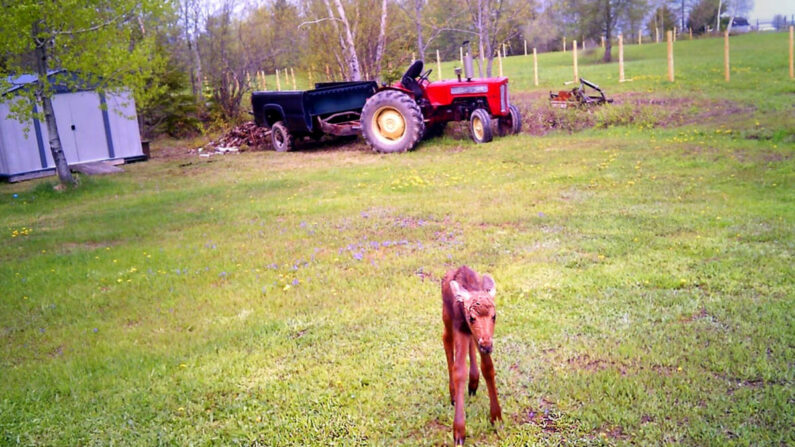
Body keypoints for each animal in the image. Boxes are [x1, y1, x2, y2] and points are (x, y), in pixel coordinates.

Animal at [442, 266, 504, 444]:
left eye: (494, 316)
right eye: (471, 317)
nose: (487, 345)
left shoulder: (474, 334)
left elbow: (488, 367)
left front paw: (496, 417)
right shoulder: (460, 326)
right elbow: (459, 370)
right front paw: (459, 431)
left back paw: (473, 383)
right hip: (446, 317)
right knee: (446, 339)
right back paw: (453, 393)